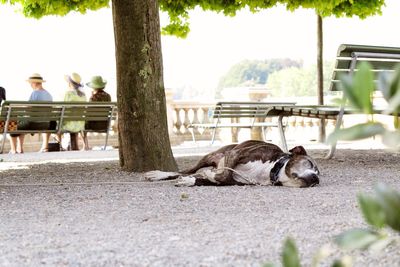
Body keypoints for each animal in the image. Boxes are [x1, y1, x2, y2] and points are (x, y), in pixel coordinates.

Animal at [145, 140, 320, 188]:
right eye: (309, 163)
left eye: (318, 176)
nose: (315, 179)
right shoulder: (235, 154)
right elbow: (223, 175)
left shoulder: (235, 181)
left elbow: (217, 180)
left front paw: (193, 181)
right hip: (212, 155)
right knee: (184, 170)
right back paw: (159, 175)